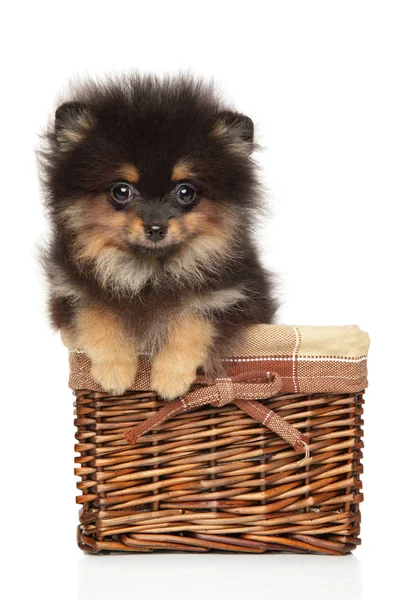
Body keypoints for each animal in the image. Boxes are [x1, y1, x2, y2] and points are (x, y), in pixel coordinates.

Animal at [40, 77, 278, 400]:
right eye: (122, 190)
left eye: (186, 191)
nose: (155, 228)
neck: (149, 274)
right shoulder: (70, 290)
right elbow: (96, 314)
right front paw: (115, 370)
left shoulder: (232, 297)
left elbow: (193, 319)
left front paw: (170, 377)